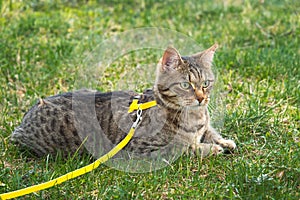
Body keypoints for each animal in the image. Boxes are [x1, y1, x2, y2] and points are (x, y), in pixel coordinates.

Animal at [11, 44, 237, 160]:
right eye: (185, 85)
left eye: (206, 83)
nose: (201, 98)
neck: (194, 116)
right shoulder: (140, 150)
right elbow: (182, 148)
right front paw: (210, 149)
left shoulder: (204, 126)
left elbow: (211, 132)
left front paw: (223, 141)